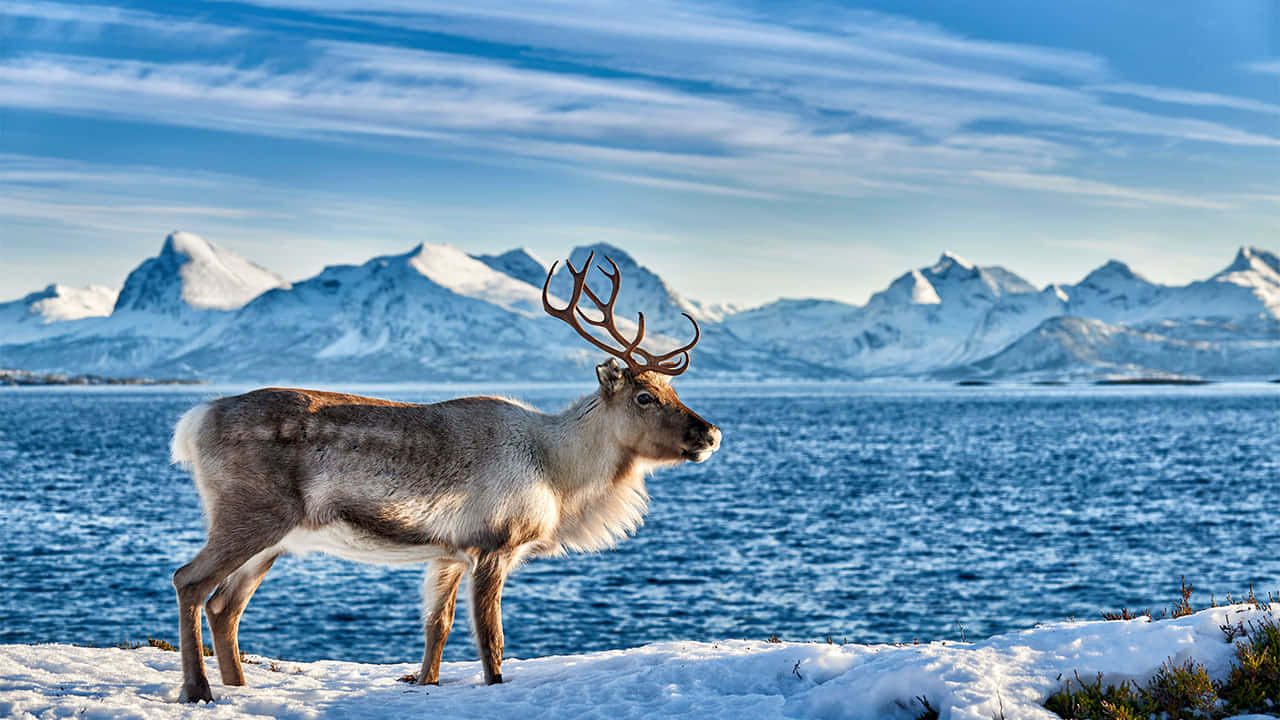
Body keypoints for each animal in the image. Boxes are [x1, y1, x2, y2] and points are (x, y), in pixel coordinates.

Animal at [169, 251, 722, 703]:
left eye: (671, 390)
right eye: (644, 397)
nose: (711, 433)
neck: (559, 472)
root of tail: (194, 421)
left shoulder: (448, 554)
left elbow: (438, 628)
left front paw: (426, 682)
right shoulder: (495, 545)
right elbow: (491, 639)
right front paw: (494, 685)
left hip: (276, 540)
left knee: (225, 606)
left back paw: (239, 688)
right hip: (251, 515)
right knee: (189, 582)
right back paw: (199, 692)